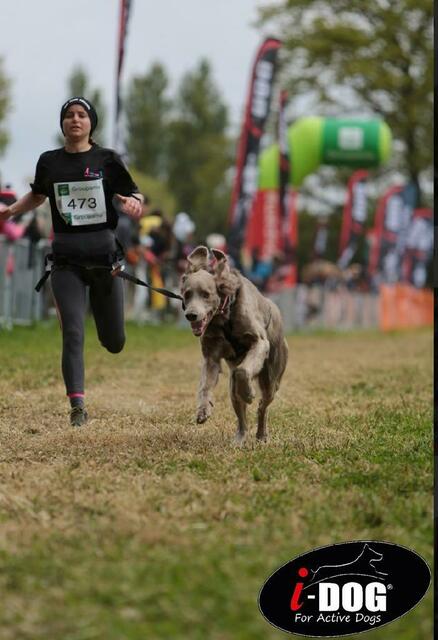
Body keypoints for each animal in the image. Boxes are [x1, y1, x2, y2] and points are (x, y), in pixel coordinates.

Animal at [180, 246, 288, 442]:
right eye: (187, 294)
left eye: (206, 294)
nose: (191, 315)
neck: (225, 316)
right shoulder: (211, 357)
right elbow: (205, 386)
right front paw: (203, 410)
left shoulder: (259, 343)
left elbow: (242, 370)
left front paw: (248, 393)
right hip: (233, 389)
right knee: (241, 413)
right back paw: (240, 438)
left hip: (272, 377)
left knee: (263, 405)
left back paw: (261, 434)